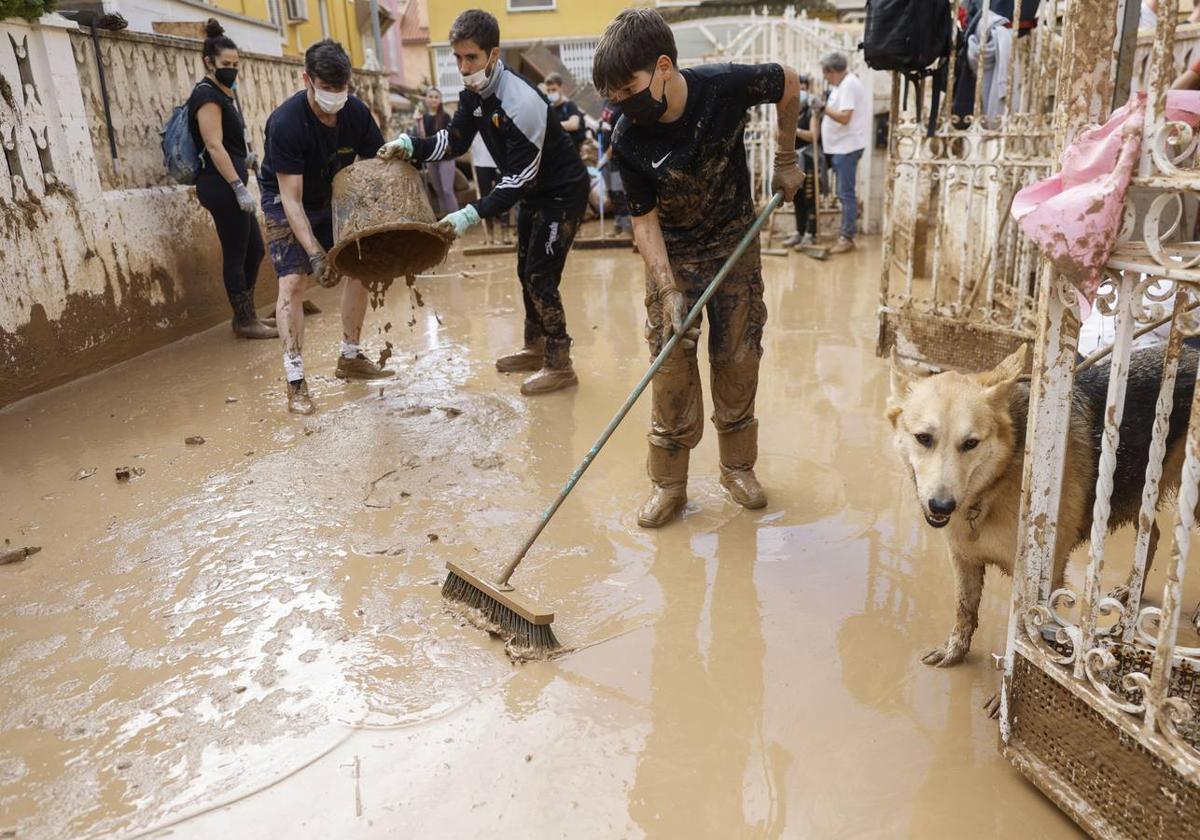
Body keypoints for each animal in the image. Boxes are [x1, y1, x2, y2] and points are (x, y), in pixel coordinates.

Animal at [888, 340, 1195, 667]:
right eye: (923, 438)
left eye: (971, 443)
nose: (941, 506)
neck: (1000, 479)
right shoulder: (964, 560)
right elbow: (964, 610)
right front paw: (954, 651)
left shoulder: (1041, 582)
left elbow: (1029, 636)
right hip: (1137, 494)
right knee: (1153, 536)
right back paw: (1129, 589)